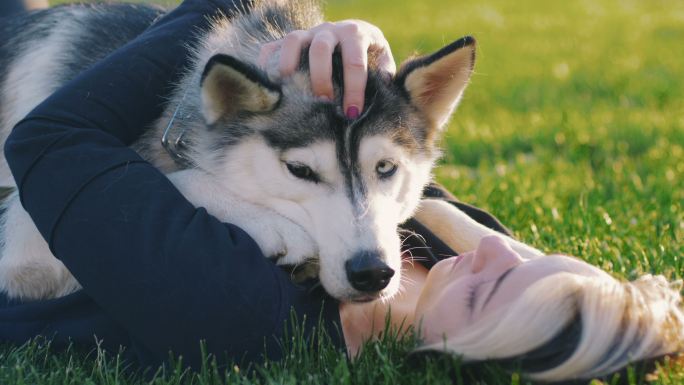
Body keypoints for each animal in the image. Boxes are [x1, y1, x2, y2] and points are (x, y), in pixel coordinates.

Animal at [0, 0, 478, 302]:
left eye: (386, 168)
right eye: (300, 171)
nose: (372, 272)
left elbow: (433, 207)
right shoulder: (26, 251)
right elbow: (169, 177)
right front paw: (271, 226)